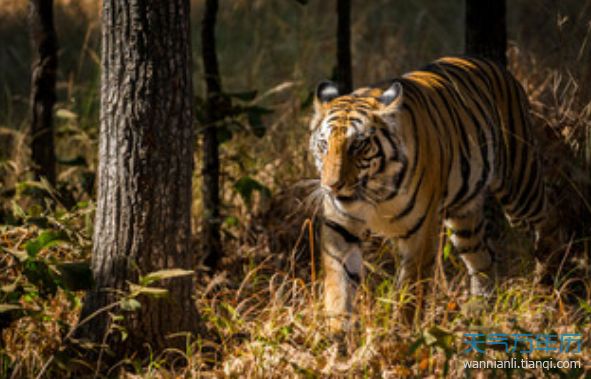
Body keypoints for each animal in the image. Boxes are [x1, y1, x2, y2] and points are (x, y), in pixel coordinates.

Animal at [310, 55, 552, 334]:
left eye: (358, 145)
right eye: (324, 144)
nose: (332, 186)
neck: (375, 192)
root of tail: (495, 65)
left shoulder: (420, 234)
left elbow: (410, 293)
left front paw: (402, 336)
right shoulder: (340, 229)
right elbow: (338, 287)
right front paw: (337, 333)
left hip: (521, 184)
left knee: (548, 223)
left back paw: (546, 290)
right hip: (465, 217)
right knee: (484, 259)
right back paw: (479, 311)